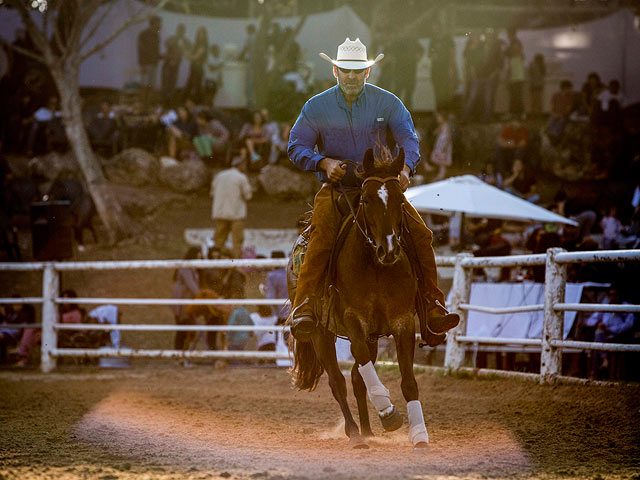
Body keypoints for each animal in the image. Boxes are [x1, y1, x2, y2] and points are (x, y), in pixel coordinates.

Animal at [288, 146, 430, 450]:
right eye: (366, 199)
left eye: (400, 198)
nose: (389, 250)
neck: (375, 266)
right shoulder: (354, 320)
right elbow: (360, 362)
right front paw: (388, 412)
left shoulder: (402, 321)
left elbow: (408, 380)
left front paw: (419, 435)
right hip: (320, 333)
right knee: (338, 381)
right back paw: (355, 434)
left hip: (373, 335)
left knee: (355, 379)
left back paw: (367, 430)